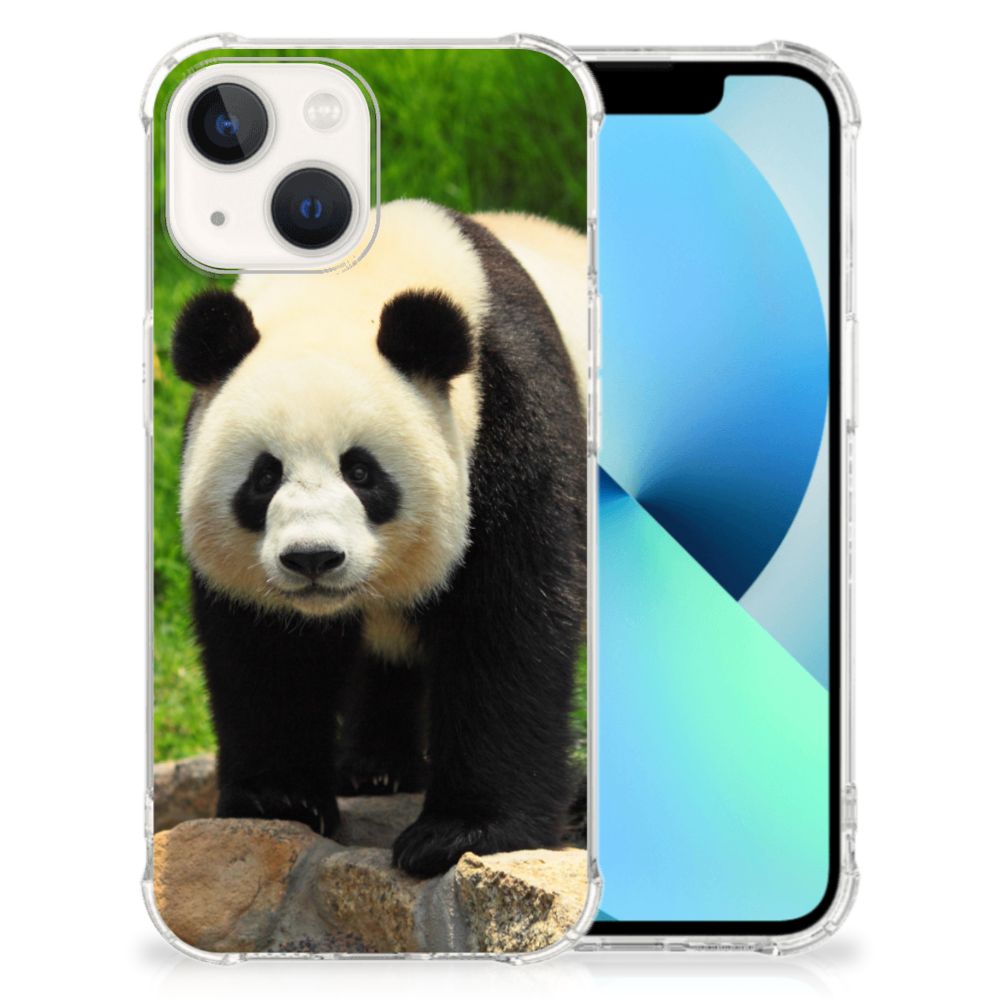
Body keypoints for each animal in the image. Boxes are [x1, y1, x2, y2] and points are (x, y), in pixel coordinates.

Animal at [172, 199, 588, 877]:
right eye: (264, 476)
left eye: (362, 472)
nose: (313, 558)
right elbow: (267, 649)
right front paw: (278, 799)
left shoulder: (512, 420)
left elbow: (508, 624)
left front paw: (462, 832)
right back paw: (374, 769)